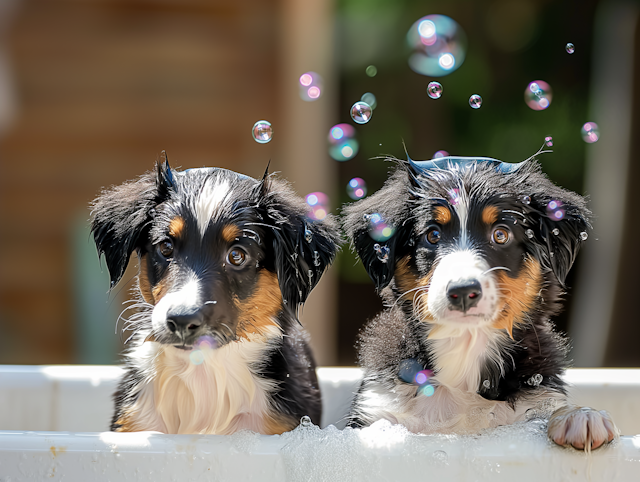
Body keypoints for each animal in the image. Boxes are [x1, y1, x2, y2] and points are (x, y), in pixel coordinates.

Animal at [344, 156, 620, 450]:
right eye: (432, 235)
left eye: (501, 234)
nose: (463, 291)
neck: (465, 348)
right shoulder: (379, 406)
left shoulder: (535, 399)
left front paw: (582, 416)